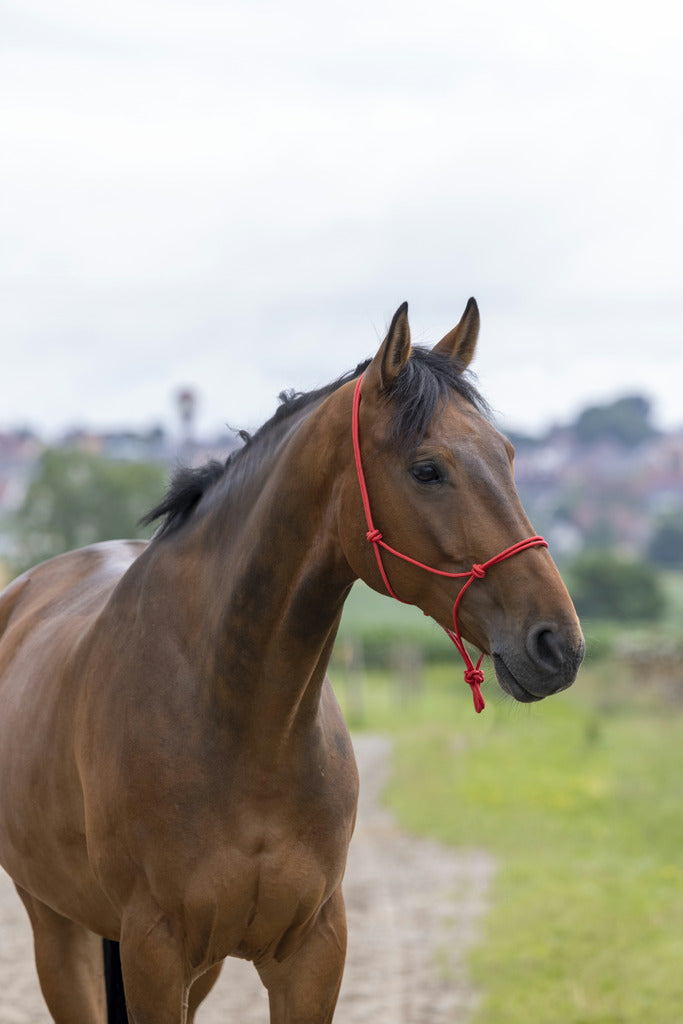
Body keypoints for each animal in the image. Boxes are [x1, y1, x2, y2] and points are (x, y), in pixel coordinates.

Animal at [1, 299, 589, 1024]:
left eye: (506, 456)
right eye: (427, 469)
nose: (556, 644)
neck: (240, 722)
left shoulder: (310, 950)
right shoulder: (154, 952)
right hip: (59, 932)